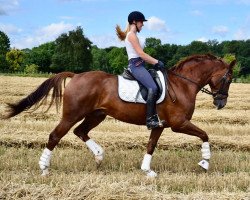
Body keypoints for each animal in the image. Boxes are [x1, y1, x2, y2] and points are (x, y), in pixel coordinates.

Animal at [2, 54, 235, 177]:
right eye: (228, 78)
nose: (221, 103)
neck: (182, 83)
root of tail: (76, 75)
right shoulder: (179, 123)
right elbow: (204, 135)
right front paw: (205, 162)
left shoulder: (159, 125)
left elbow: (151, 145)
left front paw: (147, 170)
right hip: (72, 114)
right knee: (55, 136)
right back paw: (44, 168)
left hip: (96, 115)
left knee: (80, 131)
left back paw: (99, 155)